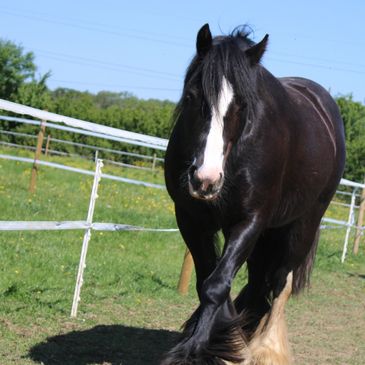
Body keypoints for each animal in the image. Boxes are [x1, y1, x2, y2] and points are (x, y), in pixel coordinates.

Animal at [162, 24, 344, 362]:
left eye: (241, 105)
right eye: (192, 97)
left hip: (301, 226)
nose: (205, 180)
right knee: (259, 285)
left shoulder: (250, 221)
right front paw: (224, 340)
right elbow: (208, 281)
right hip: (267, 236)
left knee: (280, 283)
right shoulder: (191, 218)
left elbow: (217, 285)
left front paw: (194, 350)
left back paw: (267, 349)